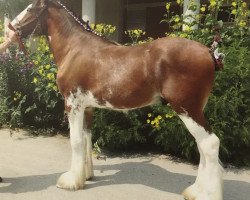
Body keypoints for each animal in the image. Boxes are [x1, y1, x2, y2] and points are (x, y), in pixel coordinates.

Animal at [0, 0, 223, 199]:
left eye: (30, 9)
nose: (9, 32)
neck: (75, 48)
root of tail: (208, 52)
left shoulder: (73, 104)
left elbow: (76, 141)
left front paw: (71, 181)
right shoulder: (87, 107)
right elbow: (87, 138)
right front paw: (86, 175)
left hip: (187, 109)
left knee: (210, 144)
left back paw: (207, 194)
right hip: (194, 110)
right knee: (202, 146)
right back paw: (195, 191)